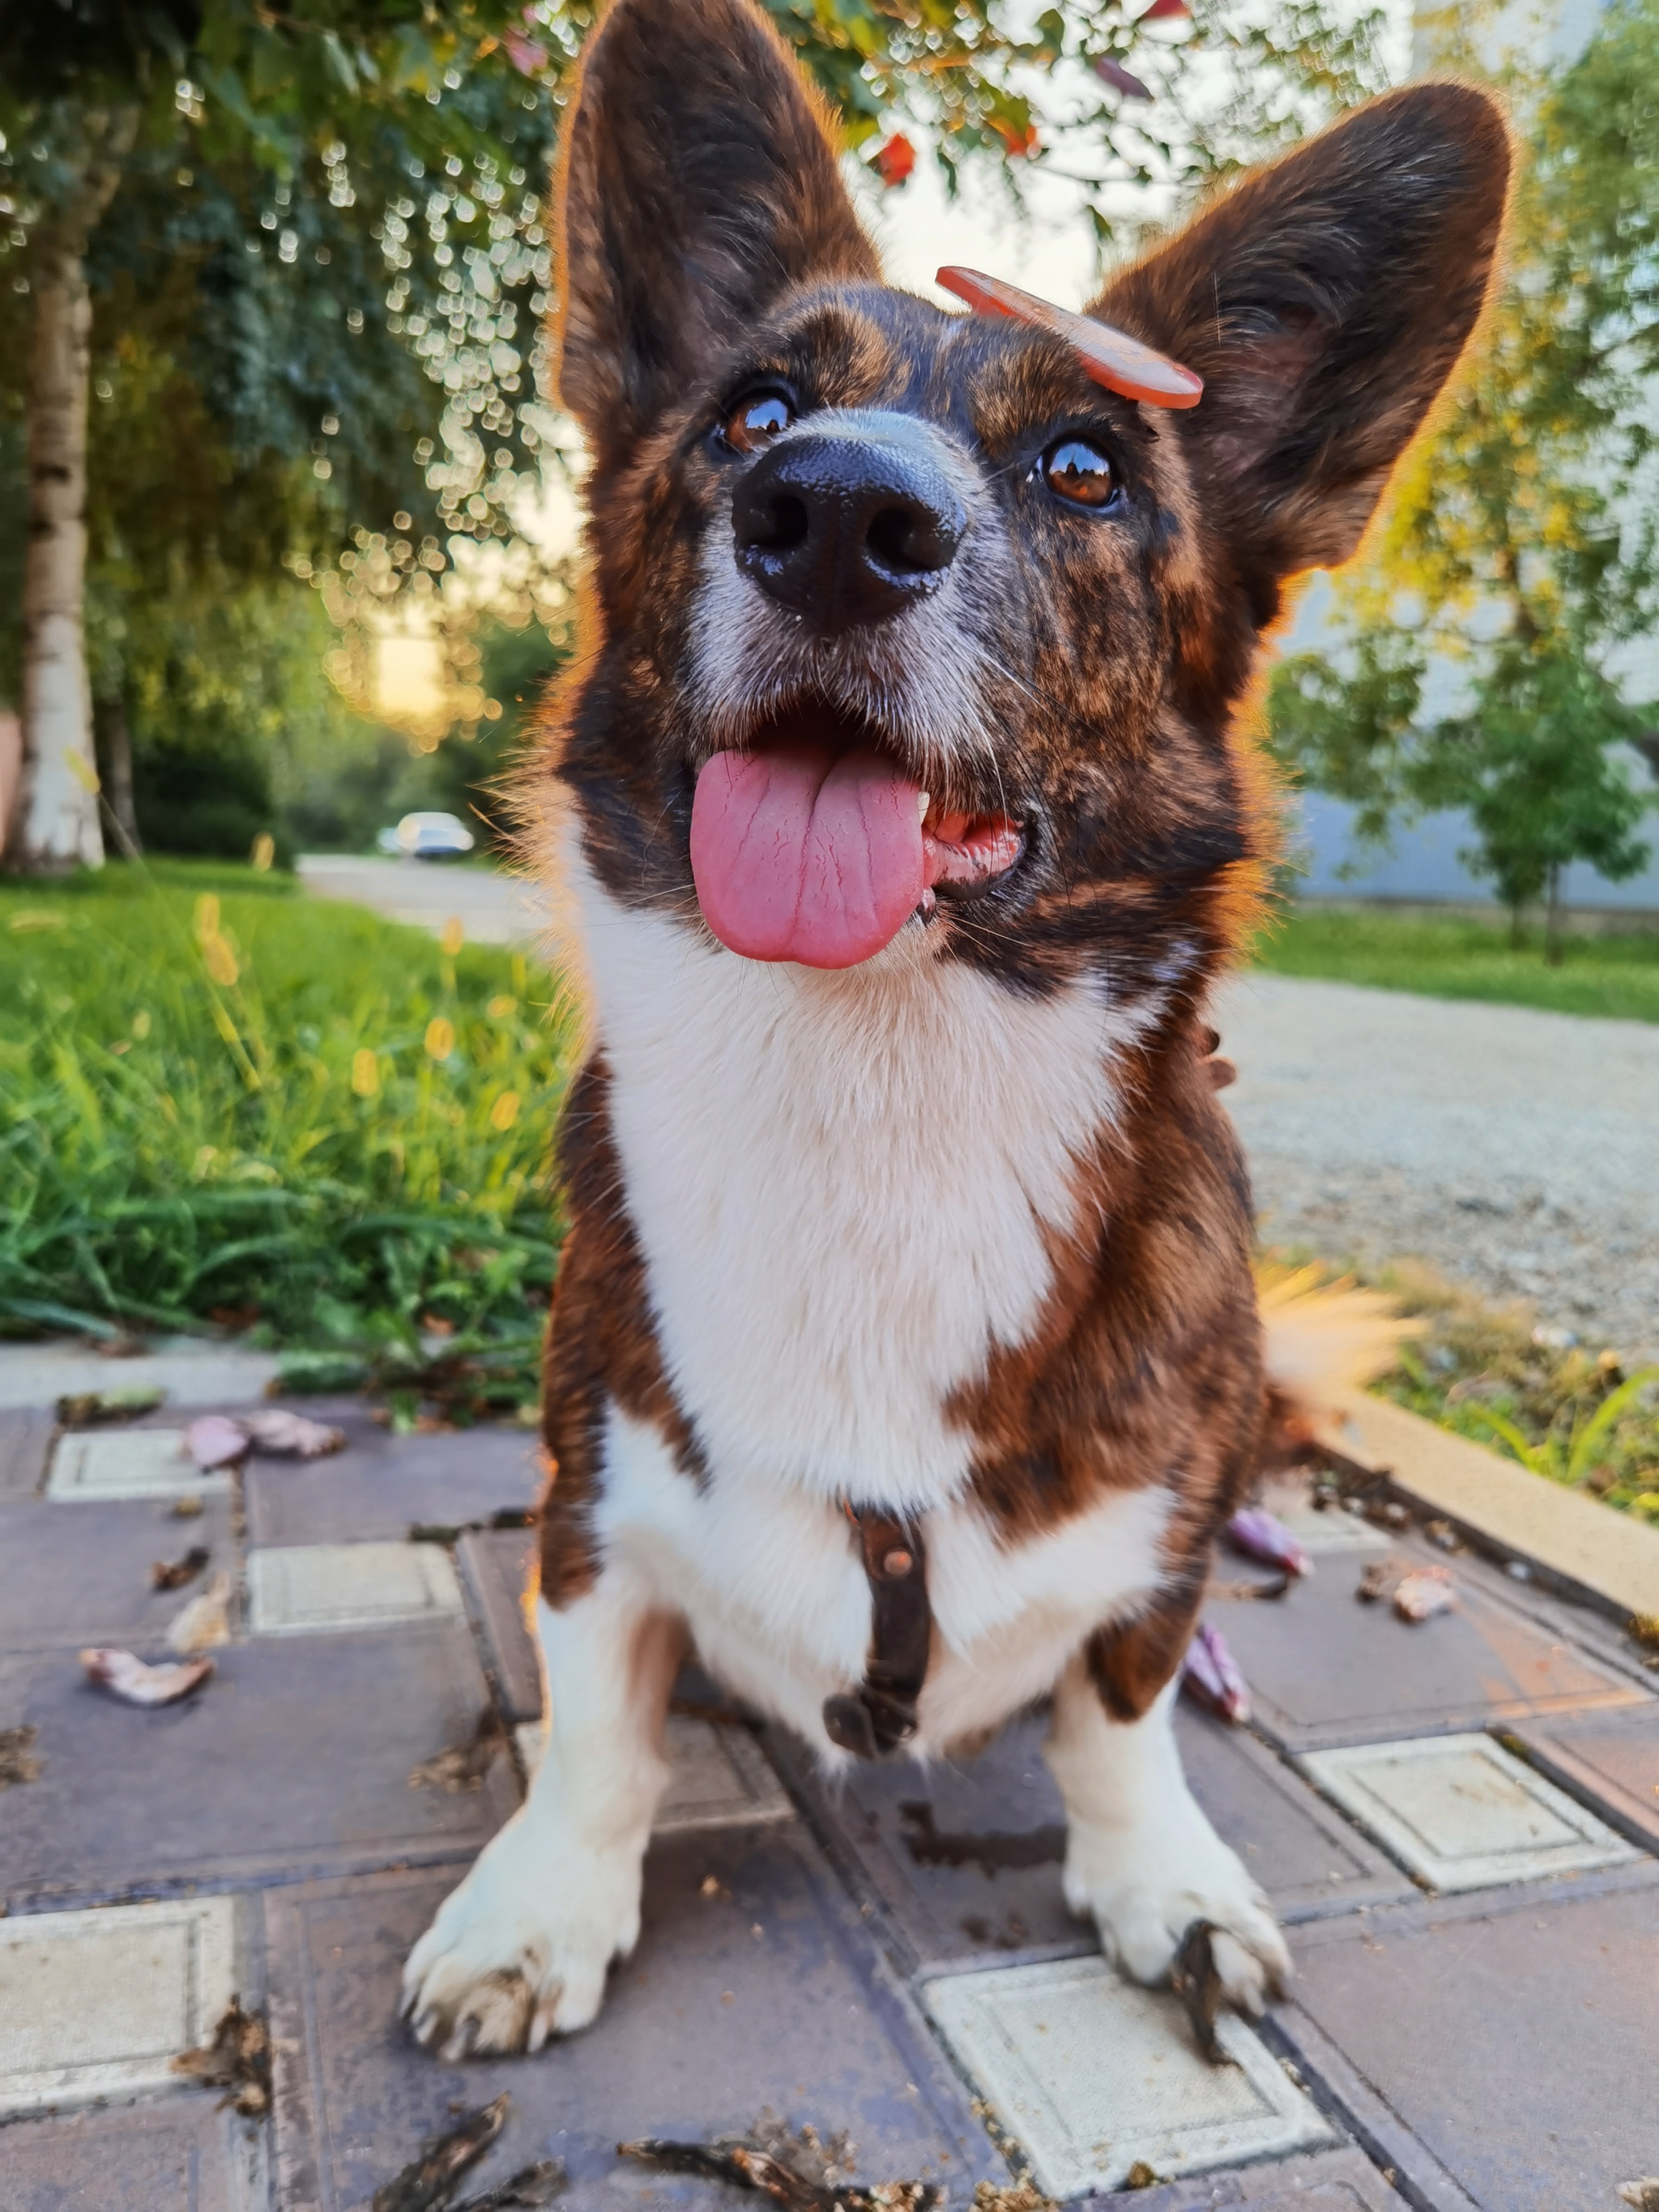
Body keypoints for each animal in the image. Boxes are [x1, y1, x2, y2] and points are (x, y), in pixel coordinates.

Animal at [407, 0, 1521, 2052]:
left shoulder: (1154, 1550)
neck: (880, 1064)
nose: (841, 516)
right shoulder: (590, 1509)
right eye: (754, 415)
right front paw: (536, 1911)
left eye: (1085, 467)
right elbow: (597, 1731)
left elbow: (1120, 1714)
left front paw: (1161, 1882)